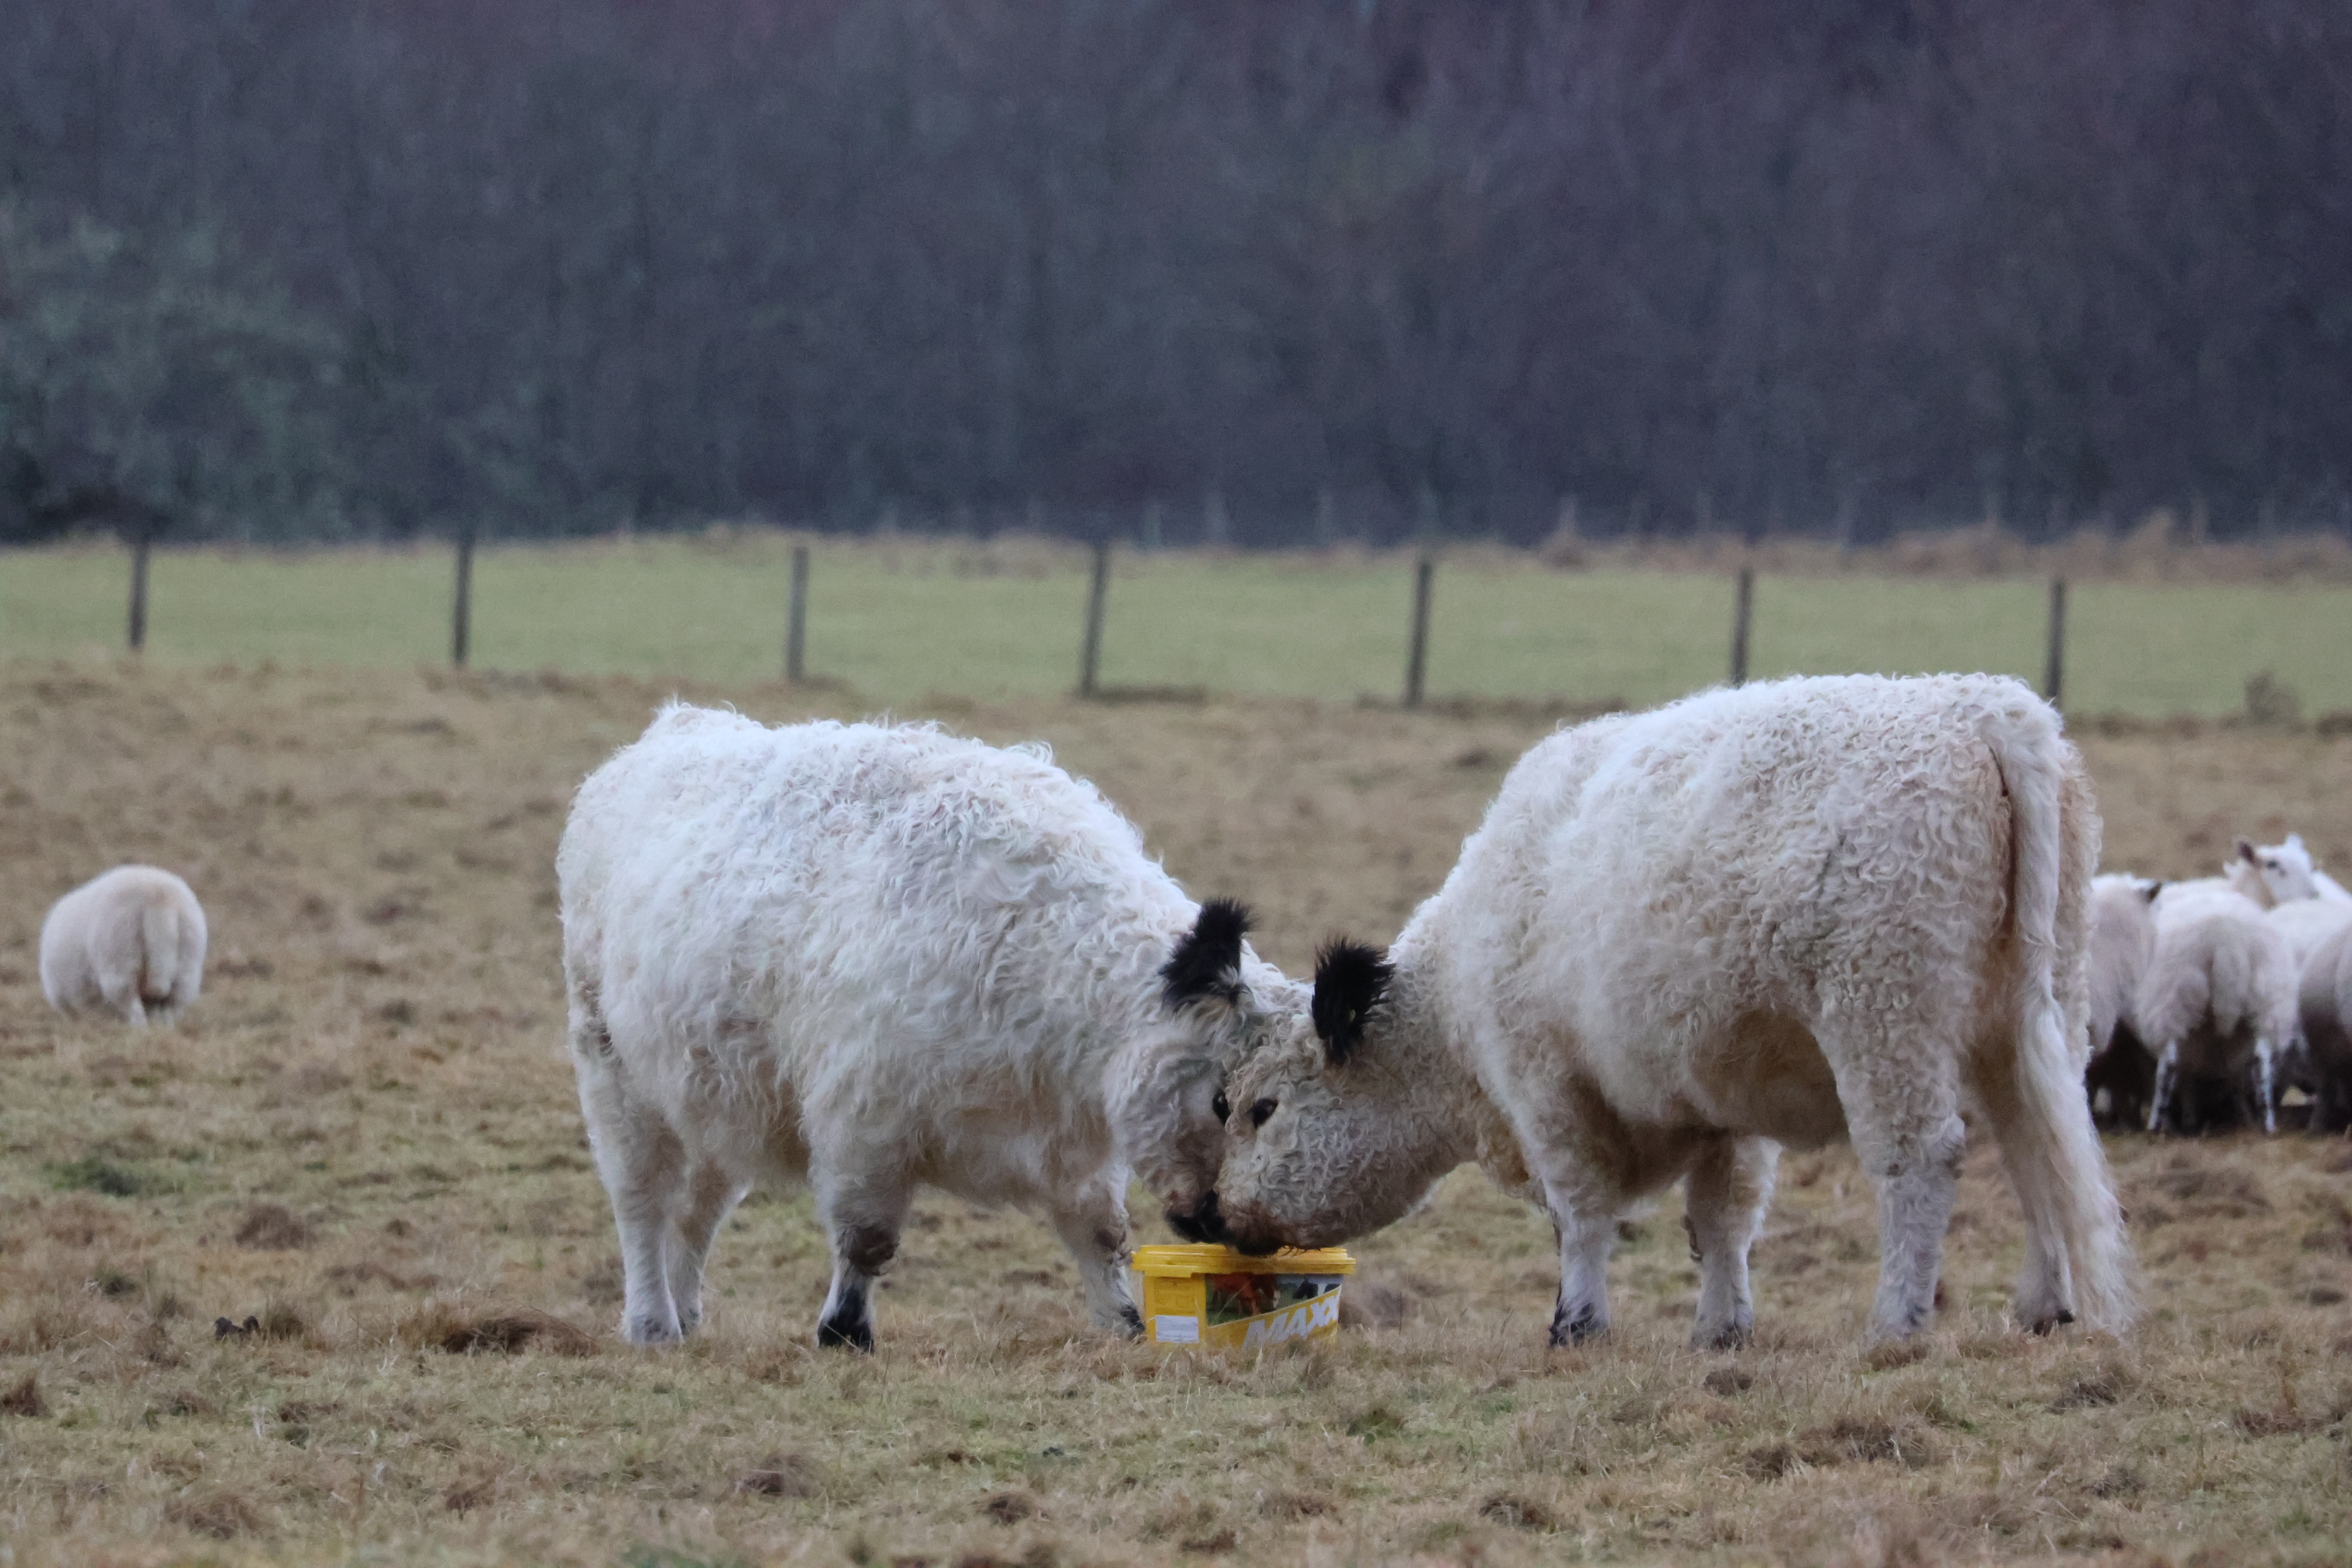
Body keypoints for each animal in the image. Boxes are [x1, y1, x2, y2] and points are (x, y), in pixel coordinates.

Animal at [558, 706, 1299, 1351]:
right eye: (1223, 1100)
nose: (1240, 1229)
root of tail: (679, 725)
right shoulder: (863, 1123)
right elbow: (866, 1239)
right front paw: (844, 1333)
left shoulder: (1078, 1150)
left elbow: (1102, 1233)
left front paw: (1123, 1326)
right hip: (613, 1074)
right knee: (643, 1203)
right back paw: (652, 1323)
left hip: (717, 1098)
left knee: (696, 1213)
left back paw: (684, 1313)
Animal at [1204, 673, 2131, 1346]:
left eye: (1259, 1107)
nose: (1216, 1215)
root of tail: (1982, 704)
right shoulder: (1722, 1105)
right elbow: (1721, 1220)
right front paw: (1722, 1329)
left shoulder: (1549, 1092)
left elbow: (1583, 1216)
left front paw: (1577, 1323)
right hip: (2031, 1019)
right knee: (2039, 1146)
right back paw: (2044, 1306)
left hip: (1885, 1019)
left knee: (1922, 1161)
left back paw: (1897, 1323)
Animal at [2138, 881, 2298, 1135]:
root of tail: (2227, 936)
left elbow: (2187, 1078)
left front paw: (2188, 1119)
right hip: (2268, 999)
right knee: (2260, 1061)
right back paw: (2267, 1124)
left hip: (2172, 1000)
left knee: (2170, 1064)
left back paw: (2156, 1125)